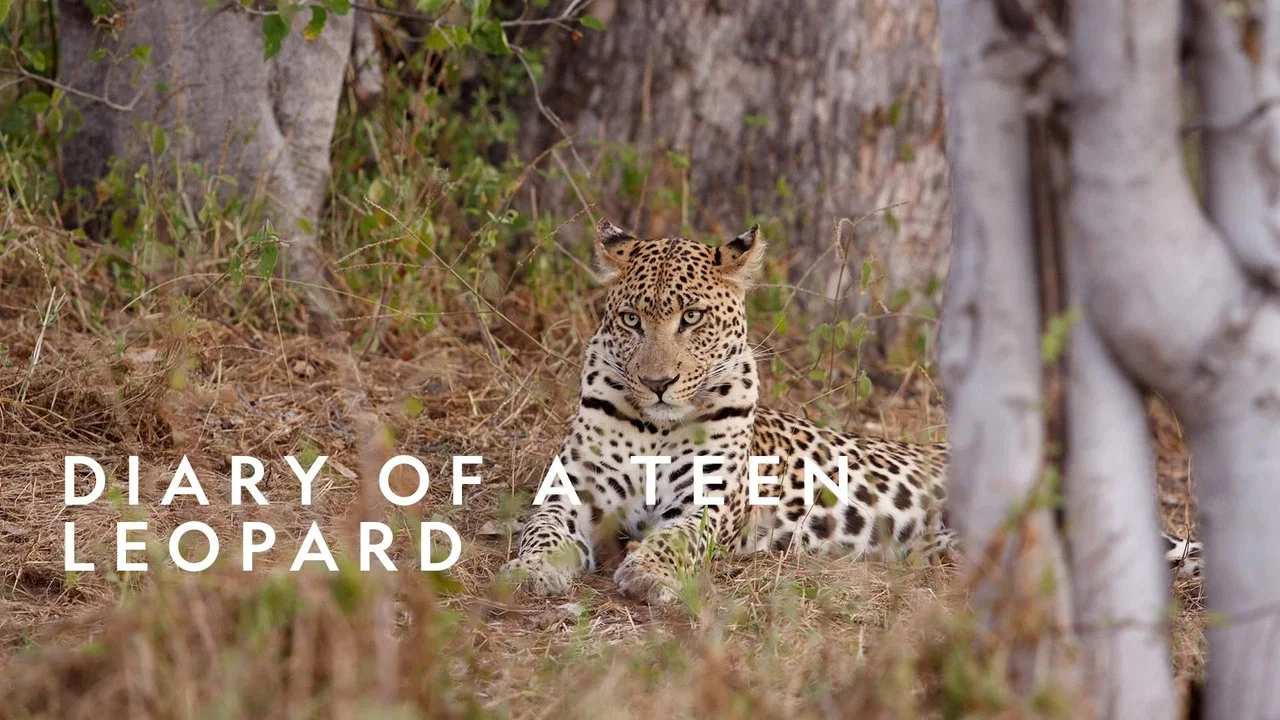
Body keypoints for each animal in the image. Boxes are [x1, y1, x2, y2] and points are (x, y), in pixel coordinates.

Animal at [499, 218, 1203, 604]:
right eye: (632, 320)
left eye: (690, 318)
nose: (658, 382)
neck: (653, 427)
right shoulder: (572, 488)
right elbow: (542, 526)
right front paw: (534, 569)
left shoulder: (709, 501)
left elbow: (678, 536)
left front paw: (648, 571)